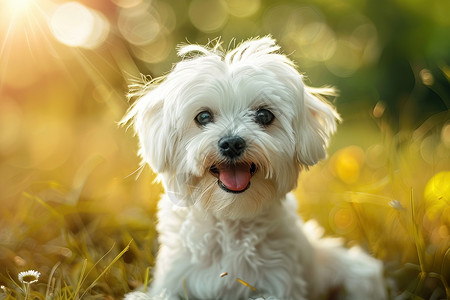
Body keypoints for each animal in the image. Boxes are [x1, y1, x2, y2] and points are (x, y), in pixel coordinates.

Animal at [121, 37, 384, 300]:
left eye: (264, 115)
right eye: (203, 116)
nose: (231, 143)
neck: (231, 219)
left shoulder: (280, 282)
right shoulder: (174, 277)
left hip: (358, 275)